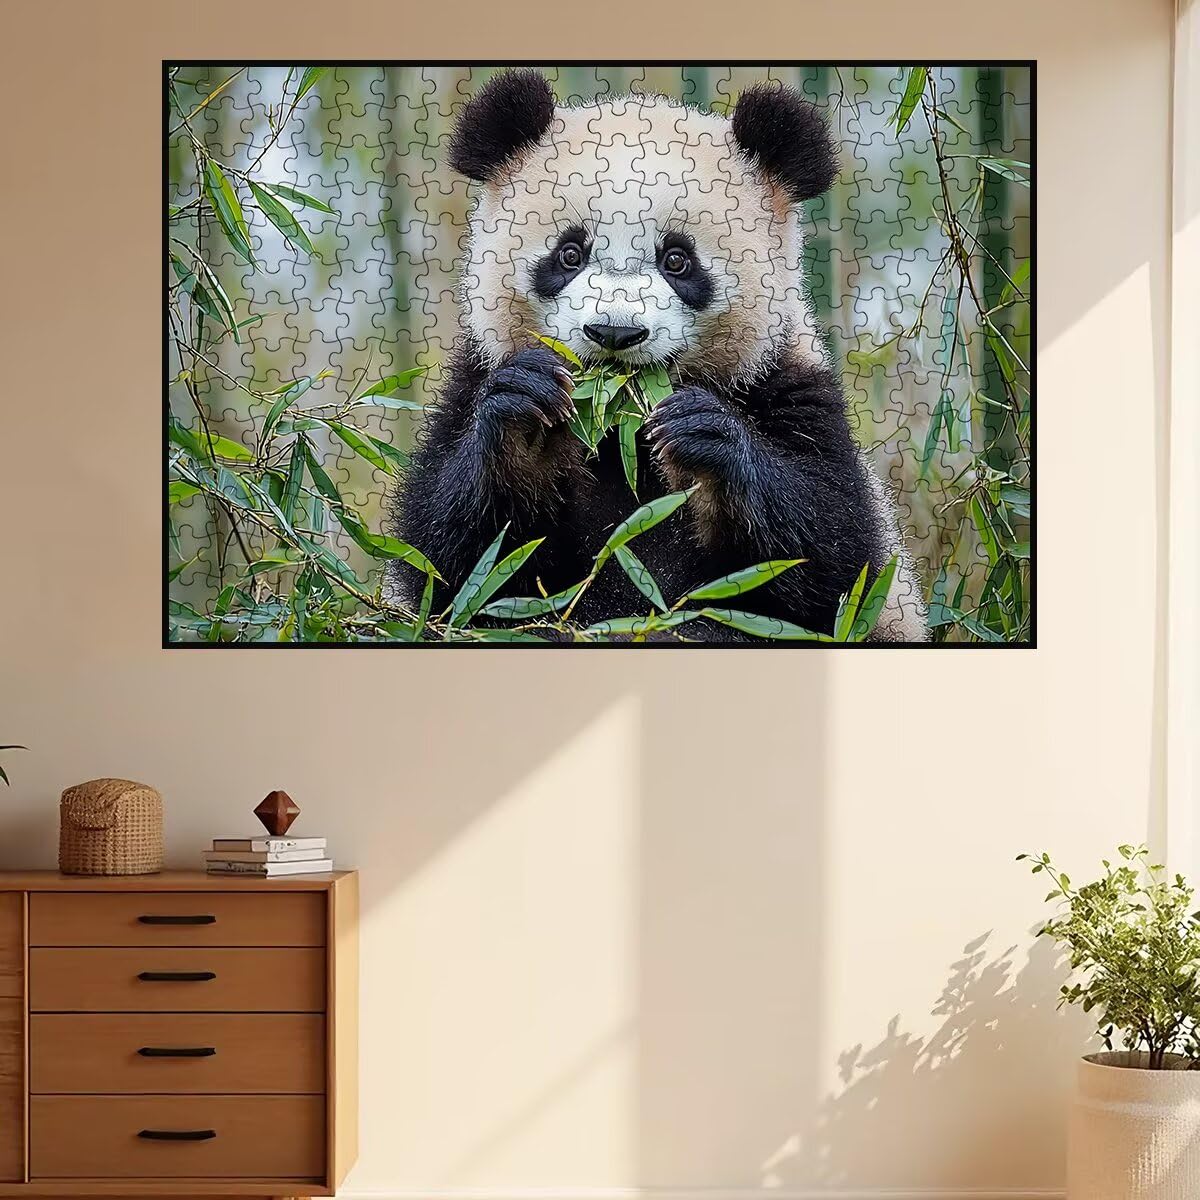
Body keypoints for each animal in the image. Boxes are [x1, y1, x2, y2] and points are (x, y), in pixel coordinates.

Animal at [389, 68, 929, 642]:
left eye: (677, 260)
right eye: (569, 253)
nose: (614, 332)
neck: (616, 433)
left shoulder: (787, 385)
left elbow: (835, 561)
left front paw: (702, 433)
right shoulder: (474, 377)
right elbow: (453, 564)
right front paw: (526, 413)